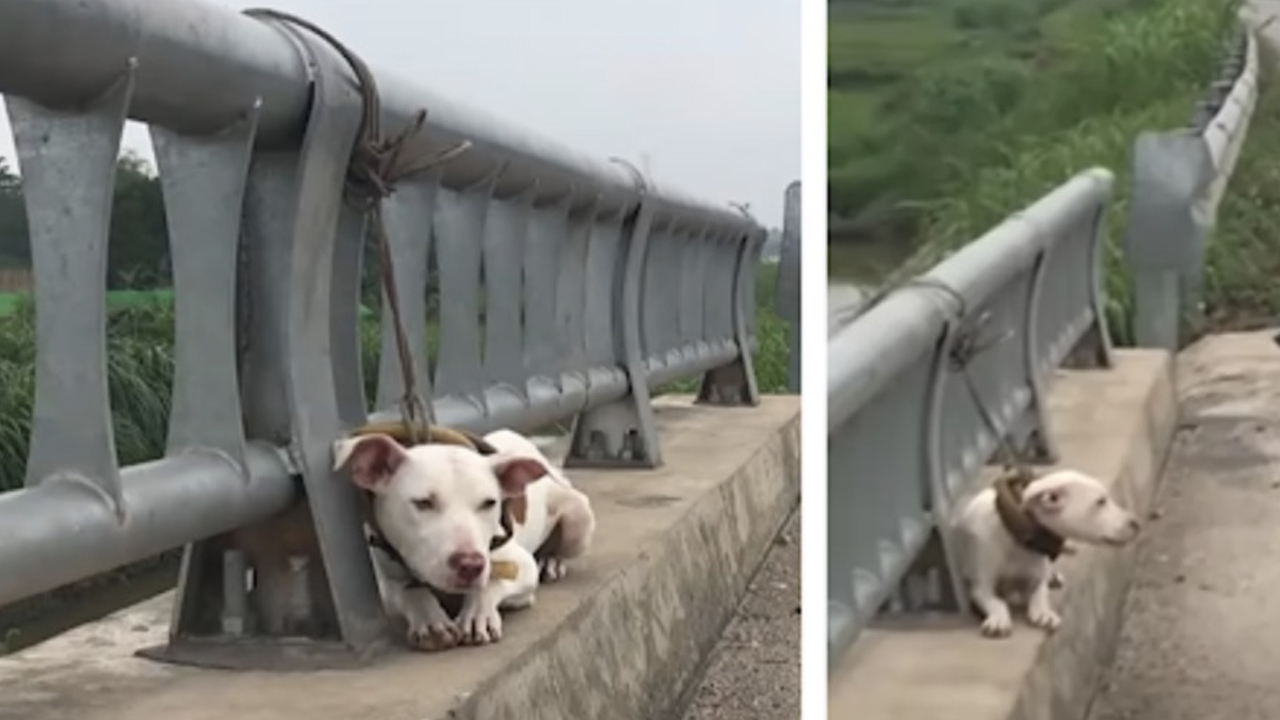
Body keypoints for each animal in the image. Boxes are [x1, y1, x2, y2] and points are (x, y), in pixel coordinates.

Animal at [327, 422, 591, 648]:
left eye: (489, 503)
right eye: (423, 503)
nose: (470, 565)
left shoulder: (522, 566)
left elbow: (491, 581)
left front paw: (477, 614)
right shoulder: (383, 580)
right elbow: (411, 591)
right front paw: (430, 620)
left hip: (579, 514)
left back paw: (551, 561)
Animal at [952, 468, 1141, 635]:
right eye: (1100, 501)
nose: (1136, 523)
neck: (1019, 543)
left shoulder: (1038, 578)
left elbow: (1040, 594)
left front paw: (1043, 612)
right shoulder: (980, 588)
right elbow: (997, 602)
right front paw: (998, 619)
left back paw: (1053, 576)